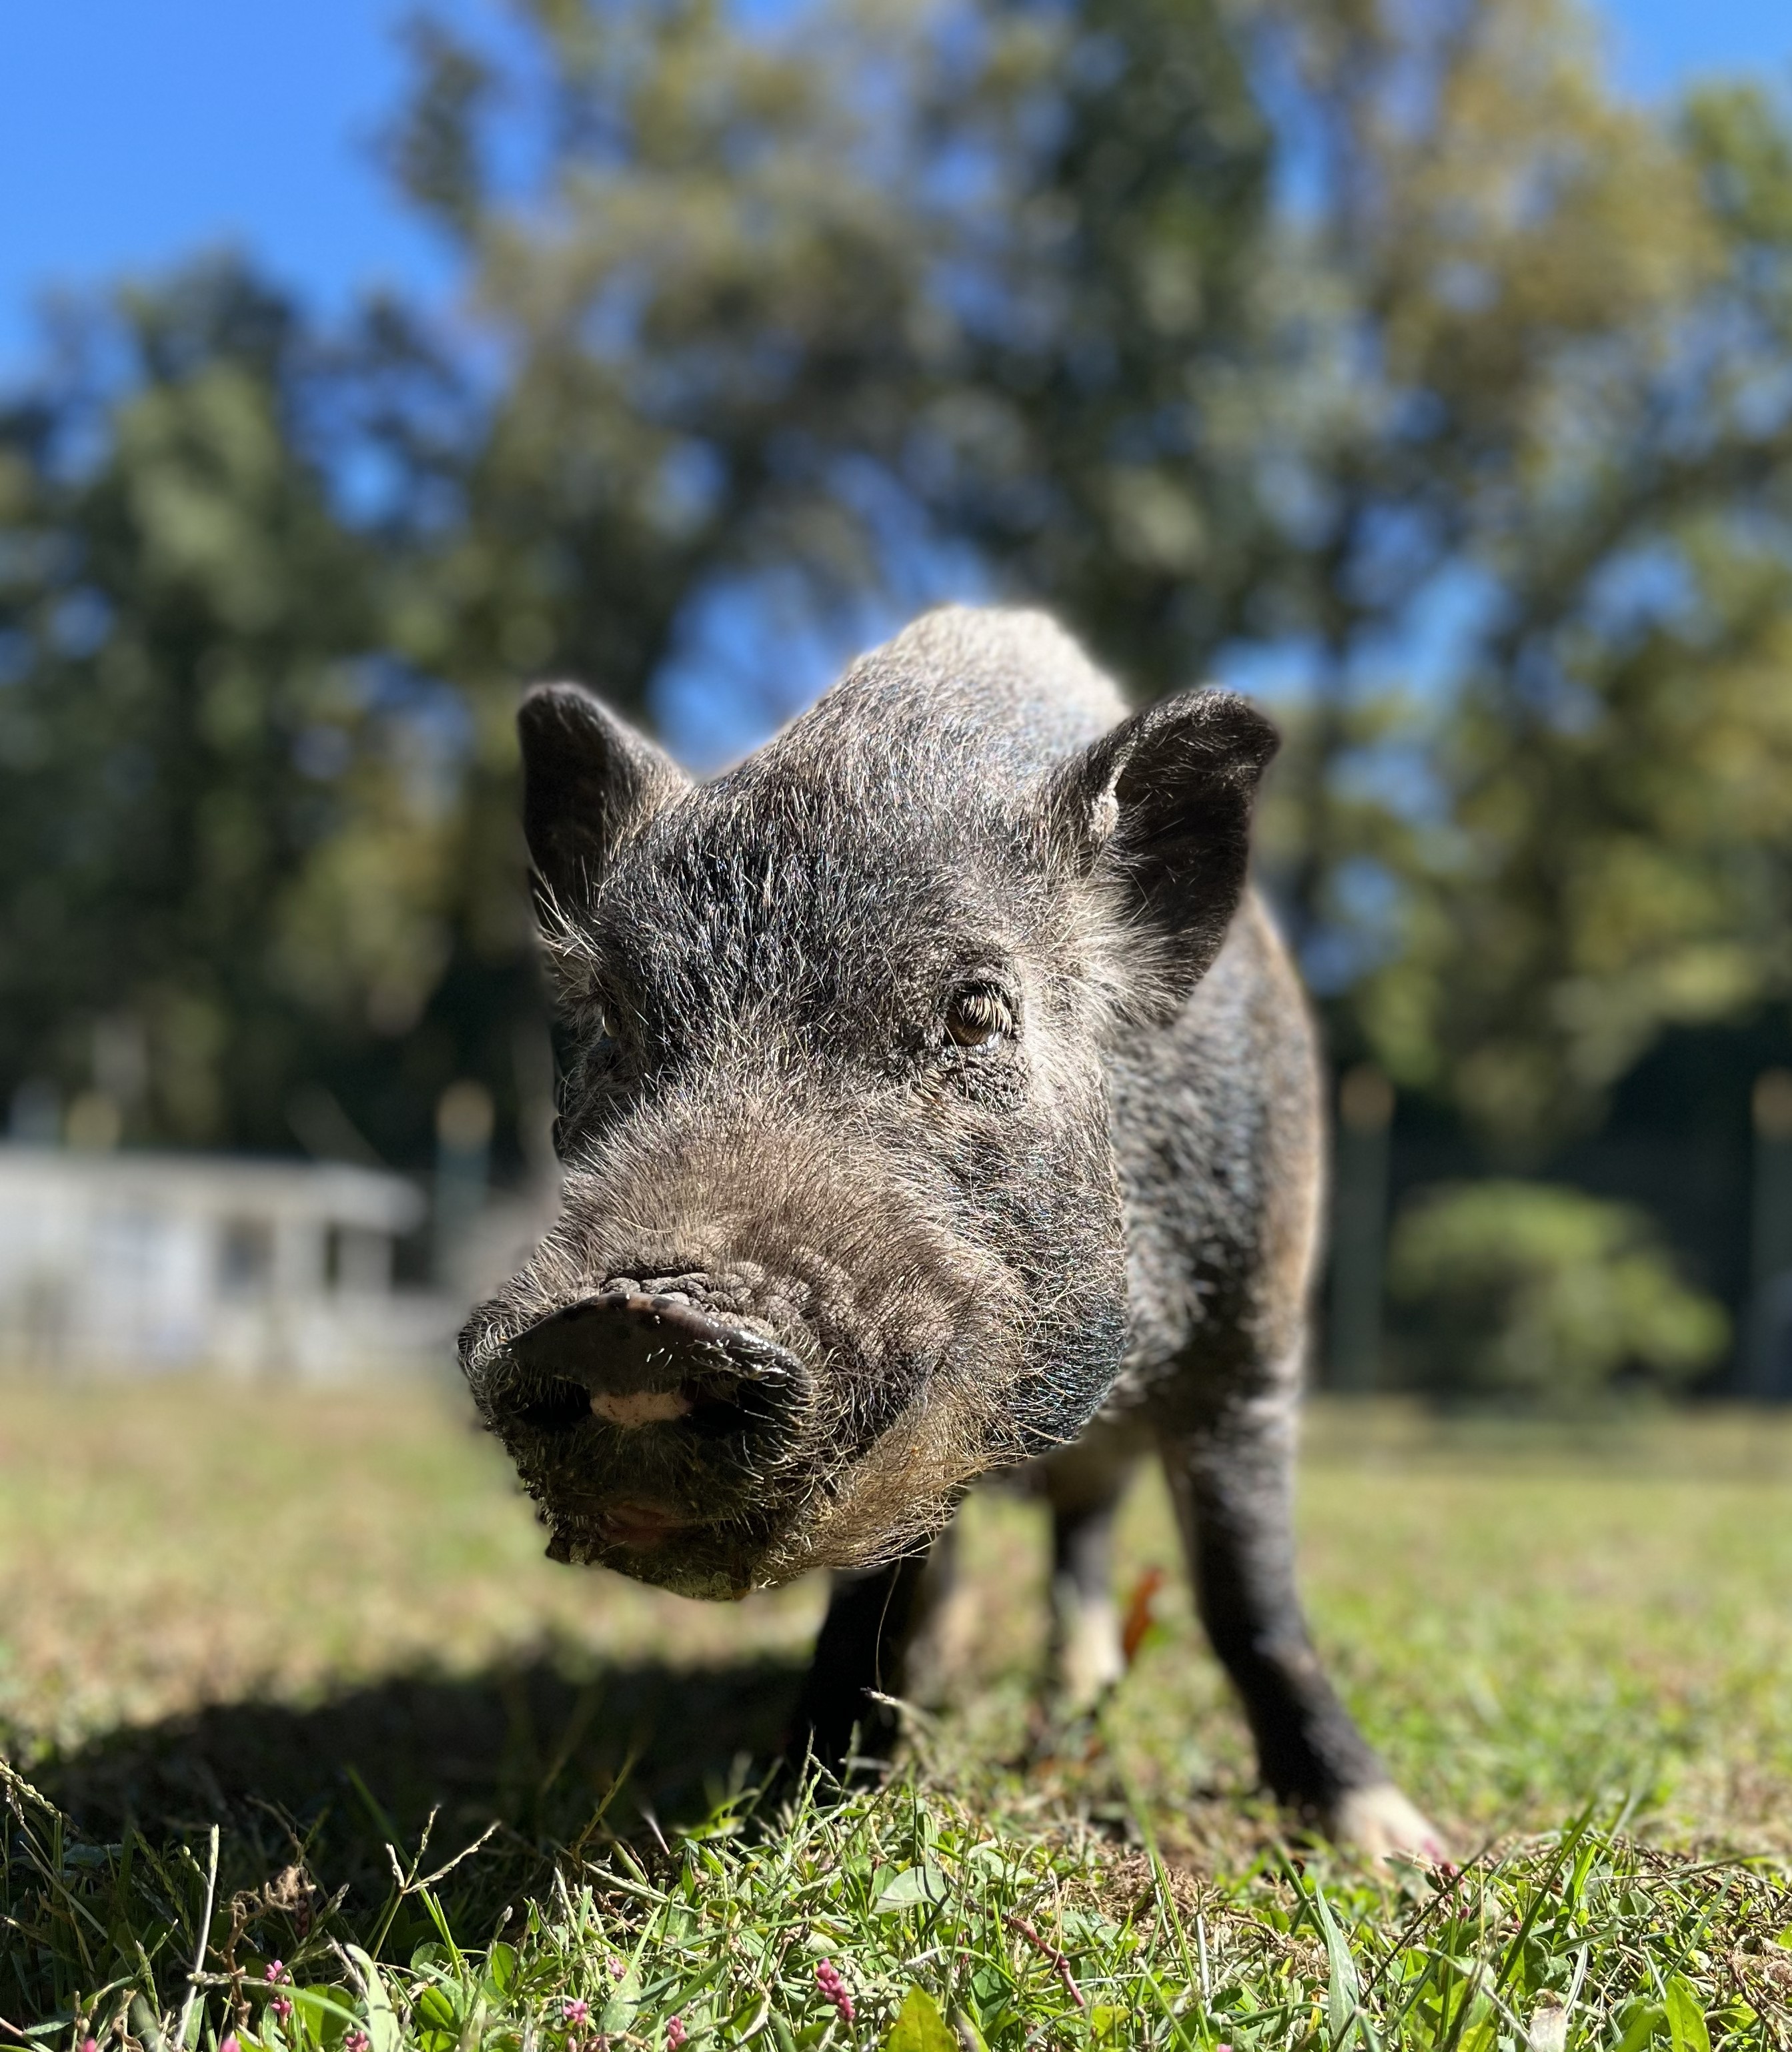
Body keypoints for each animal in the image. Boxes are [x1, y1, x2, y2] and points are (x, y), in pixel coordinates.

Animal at [460, 605, 1444, 1861]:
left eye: (976, 1008)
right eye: (616, 1019)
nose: (633, 1317)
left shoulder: (1254, 1345)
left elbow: (1247, 1595)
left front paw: (1394, 1850)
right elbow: (874, 1595)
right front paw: (797, 1803)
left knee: (1085, 1543)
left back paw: (1075, 1695)